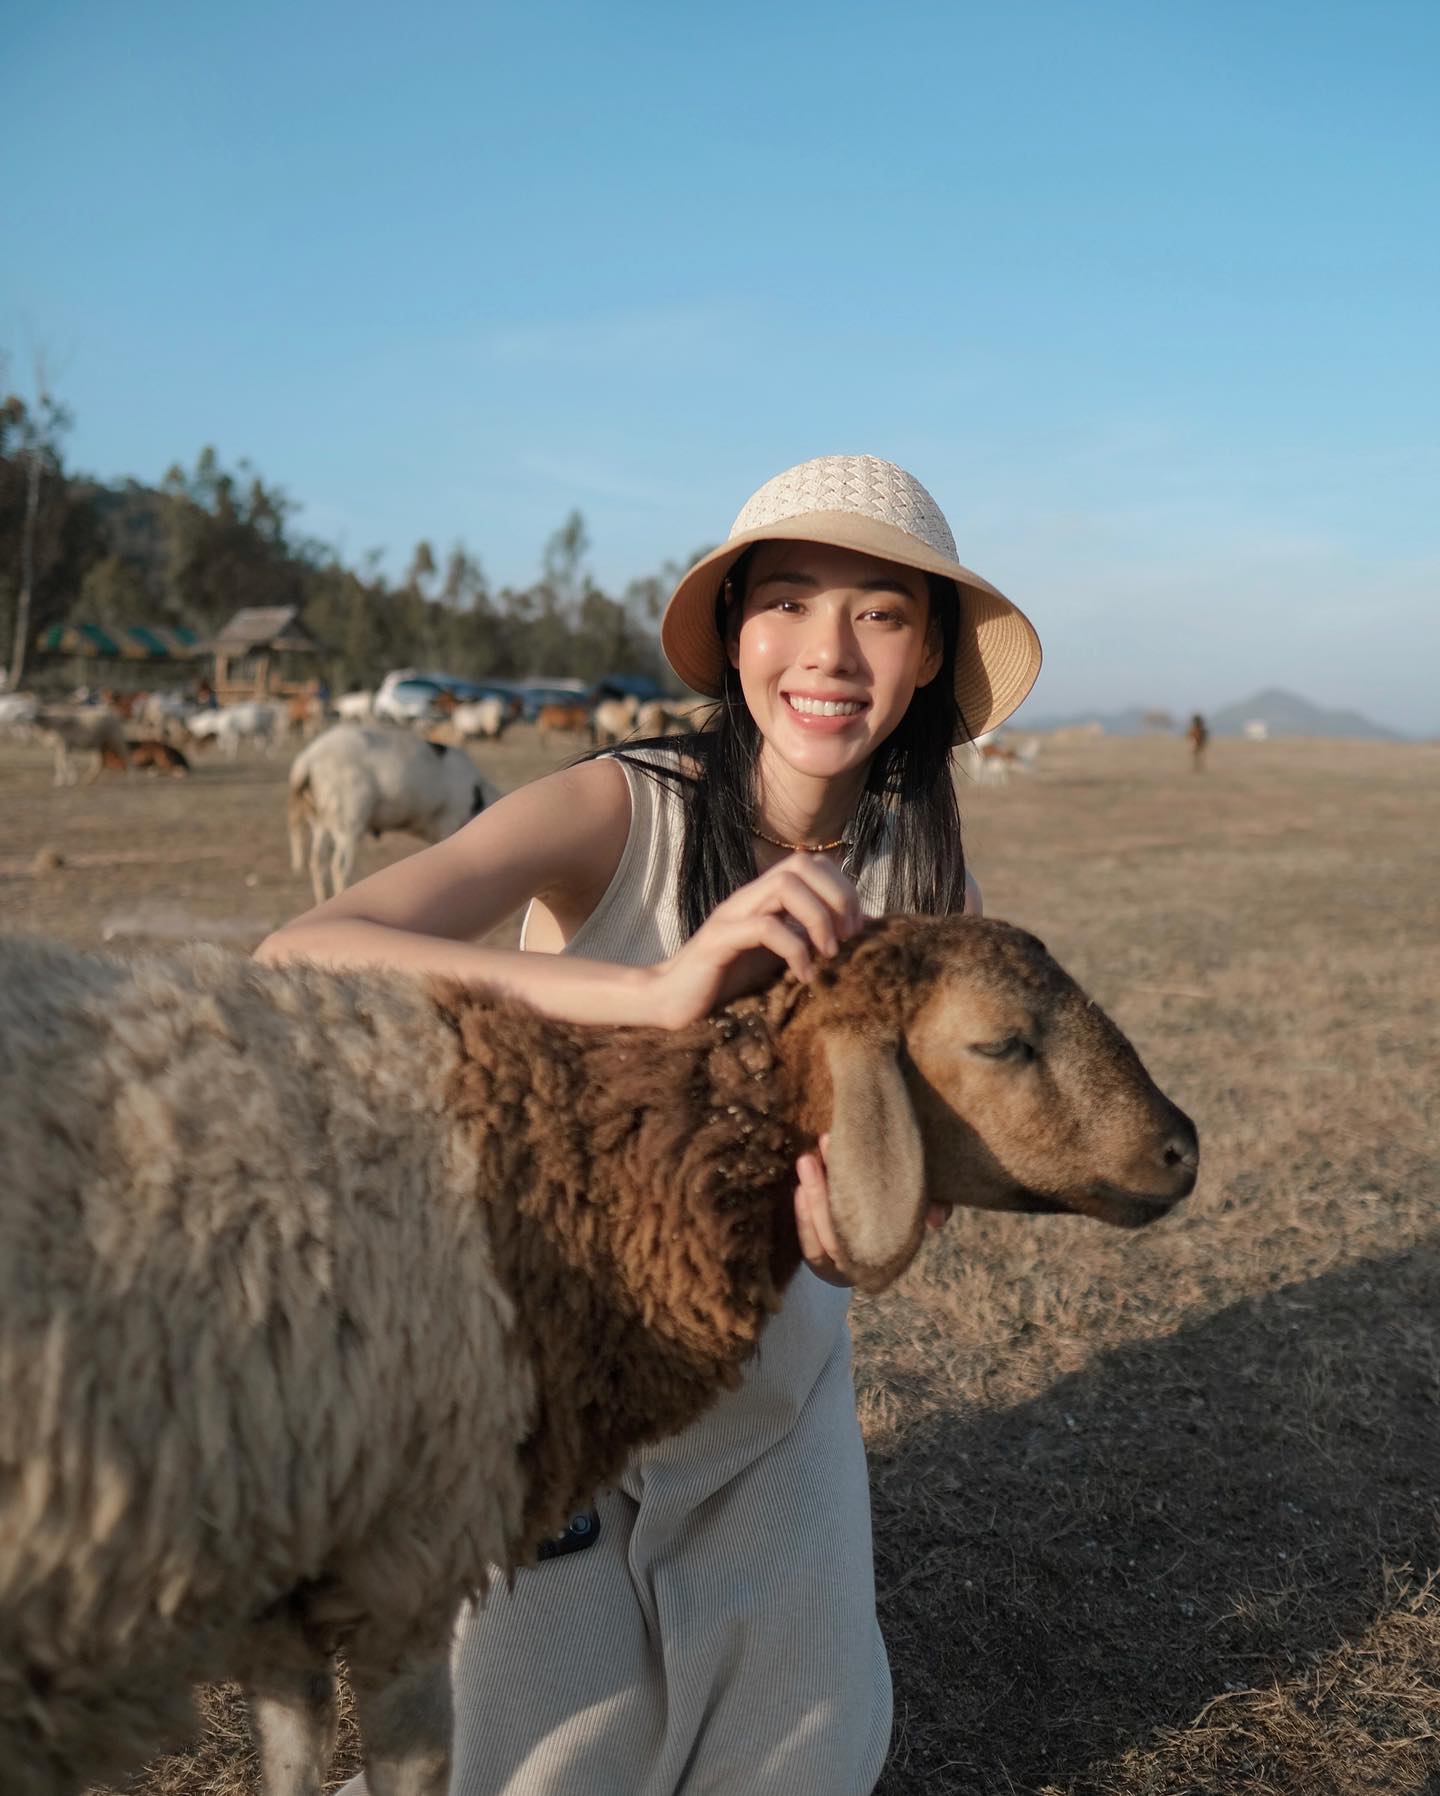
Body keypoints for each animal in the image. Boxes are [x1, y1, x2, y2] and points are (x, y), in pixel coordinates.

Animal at [285, 721, 499, 905]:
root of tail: (308, 759)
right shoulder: (448, 821)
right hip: (350, 820)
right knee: (339, 867)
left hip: (320, 821)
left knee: (316, 861)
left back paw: (322, 901)